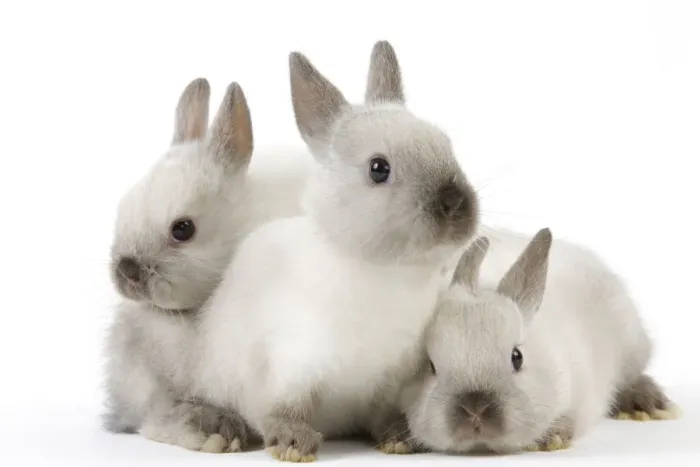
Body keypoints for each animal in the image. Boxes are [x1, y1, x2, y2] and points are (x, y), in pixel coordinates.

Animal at [193, 40, 480, 463]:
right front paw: (293, 445)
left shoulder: (389, 379)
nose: (455, 203)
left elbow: (383, 412)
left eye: (446, 146)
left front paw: (399, 438)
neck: (384, 272)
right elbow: (281, 409)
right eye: (378, 168)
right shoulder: (289, 366)